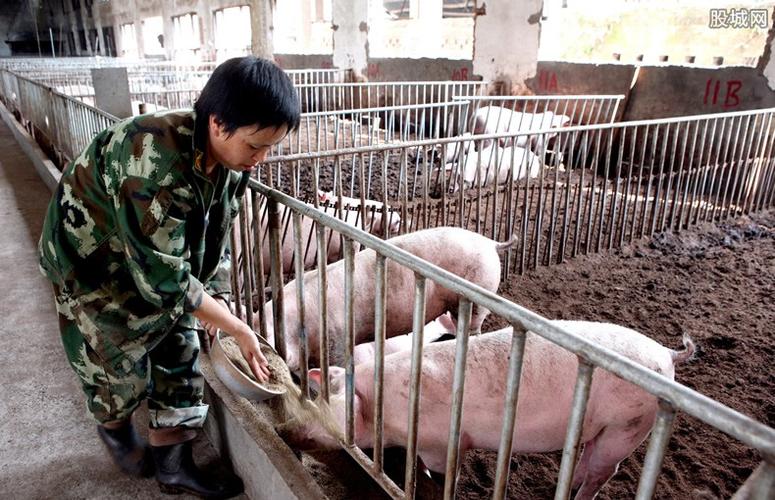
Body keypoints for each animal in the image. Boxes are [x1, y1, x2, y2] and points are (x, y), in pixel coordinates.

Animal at [232, 103, 775, 498]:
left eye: (324, 408)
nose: (286, 432)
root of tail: (667, 354)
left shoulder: (416, 414)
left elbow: (435, 469)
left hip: (619, 416)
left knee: (603, 469)